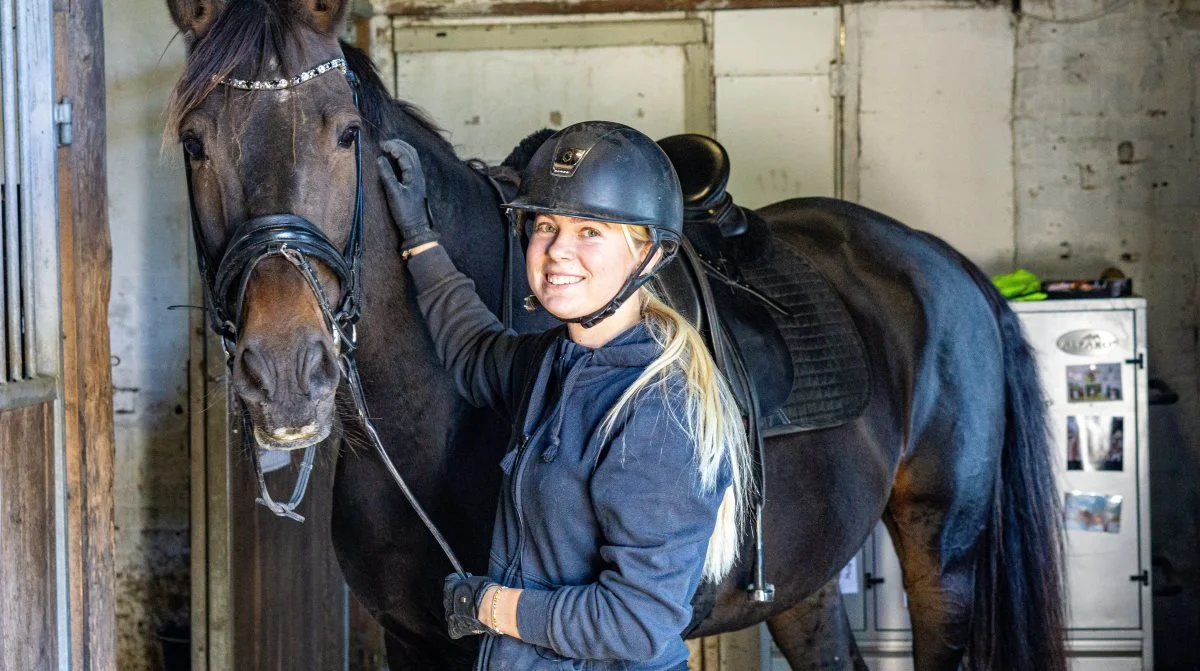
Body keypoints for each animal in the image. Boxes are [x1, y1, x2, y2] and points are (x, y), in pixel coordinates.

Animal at [164, 2, 1065, 667]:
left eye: (345, 134)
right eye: (193, 143)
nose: (287, 374)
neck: (432, 416)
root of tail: (942, 263)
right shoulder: (408, 639)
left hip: (943, 556)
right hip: (806, 580)